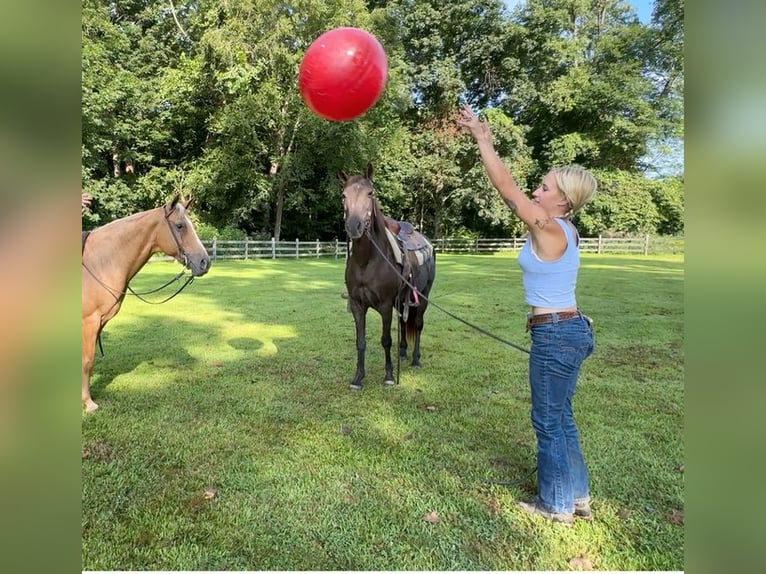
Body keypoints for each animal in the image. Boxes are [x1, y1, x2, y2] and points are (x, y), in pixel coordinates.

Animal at [81, 196, 210, 412]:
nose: (204, 262)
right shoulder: (89, 323)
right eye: (180, 225)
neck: (98, 264)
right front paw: (88, 403)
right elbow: (87, 361)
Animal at [340, 163, 436, 390]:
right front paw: (358, 377)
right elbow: (361, 341)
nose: (354, 226)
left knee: (418, 324)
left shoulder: (384, 305)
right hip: (402, 300)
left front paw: (390, 376)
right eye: (343, 195)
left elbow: (385, 340)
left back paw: (415, 359)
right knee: (403, 322)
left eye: (370, 193)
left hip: (423, 296)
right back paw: (402, 353)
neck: (367, 261)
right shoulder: (357, 305)